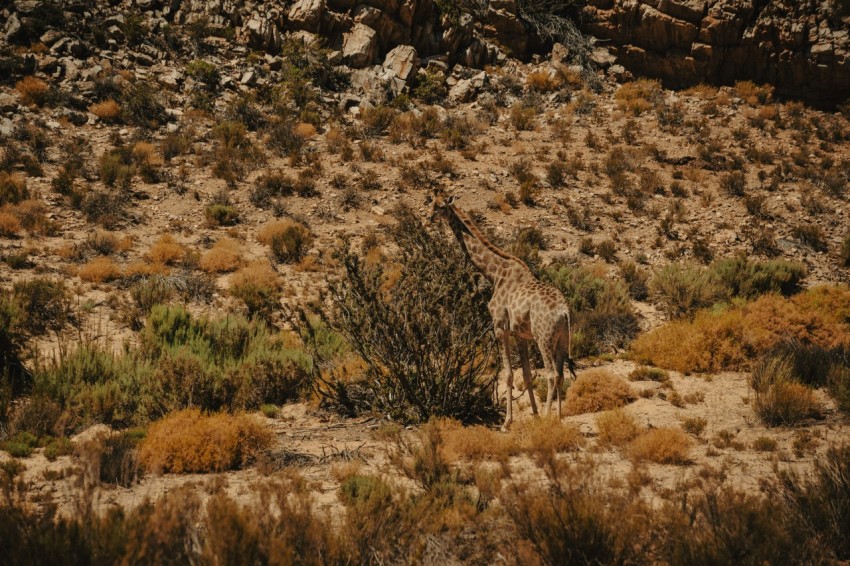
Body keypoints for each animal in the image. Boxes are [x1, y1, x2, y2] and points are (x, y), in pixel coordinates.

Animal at [427, 189, 576, 431]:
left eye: (441, 207)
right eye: (430, 203)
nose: (429, 218)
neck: (495, 274)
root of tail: (564, 312)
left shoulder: (500, 328)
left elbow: (507, 375)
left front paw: (507, 422)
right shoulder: (520, 335)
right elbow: (526, 375)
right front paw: (534, 415)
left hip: (543, 337)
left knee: (552, 374)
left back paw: (548, 419)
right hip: (562, 339)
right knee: (562, 374)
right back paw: (559, 418)